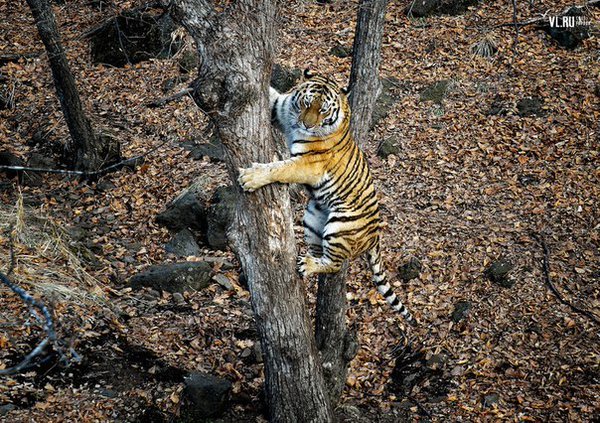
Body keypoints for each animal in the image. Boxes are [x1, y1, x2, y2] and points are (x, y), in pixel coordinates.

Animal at [237, 70, 414, 328]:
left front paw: (251, 177)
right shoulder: (279, 108)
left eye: (323, 111)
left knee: (334, 264)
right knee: (319, 252)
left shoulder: (307, 163)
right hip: (313, 217)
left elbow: (279, 168)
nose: (306, 124)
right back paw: (306, 260)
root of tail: (376, 235)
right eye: (307, 103)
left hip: (340, 226)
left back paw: (308, 264)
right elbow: (271, 95)